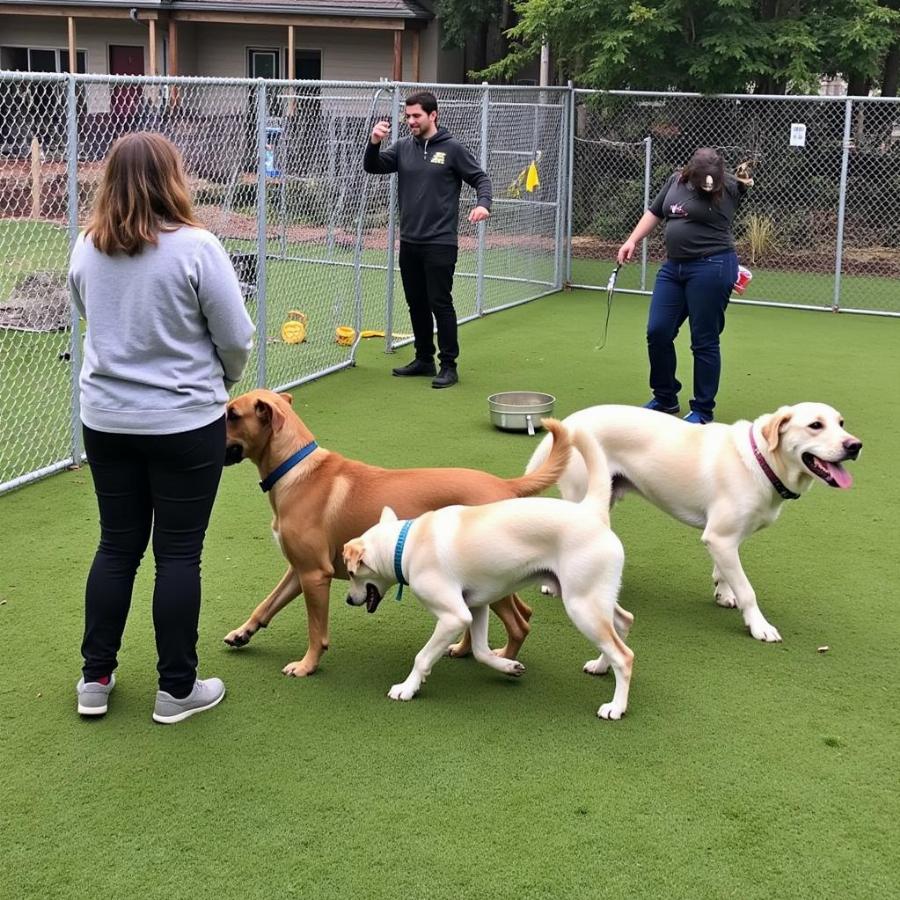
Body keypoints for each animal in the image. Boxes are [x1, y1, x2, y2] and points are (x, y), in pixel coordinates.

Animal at [221, 386, 568, 676]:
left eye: (232, 414)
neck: (295, 469)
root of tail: (505, 485)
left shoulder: (314, 575)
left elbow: (316, 630)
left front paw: (307, 665)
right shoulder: (299, 570)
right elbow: (267, 604)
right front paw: (243, 632)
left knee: (519, 624)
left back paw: (504, 661)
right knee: (520, 612)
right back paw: (464, 648)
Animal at [342, 422, 636, 724]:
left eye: (351, 574)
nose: (348, 600)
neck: (406, 543)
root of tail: (591, 511)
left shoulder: (454, 617)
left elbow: (422, 658)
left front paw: (407, 688)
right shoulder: (476, 608)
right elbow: (481, 651)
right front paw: (508, 665)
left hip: (581, 606)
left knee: (624, 656)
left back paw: (616, 706)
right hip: (593, 598)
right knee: (623, 623)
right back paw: (601, 666)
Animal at [524, 400, 860, 640]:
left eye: (841, 423)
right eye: (815, 425)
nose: (855, 445)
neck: (760, 459)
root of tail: (570, 422)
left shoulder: (725, 539)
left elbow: (726, 573)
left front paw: (724, 593)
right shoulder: (721, 537)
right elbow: (748, 589)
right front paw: (759, 626)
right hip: (581, 495)